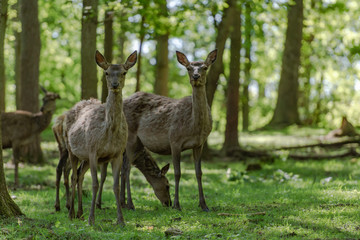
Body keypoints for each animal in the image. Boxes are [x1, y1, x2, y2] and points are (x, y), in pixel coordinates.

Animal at [63, 49, 136, 226]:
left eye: (124, 72)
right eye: (106, 72)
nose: (115, 84)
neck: (109, 132)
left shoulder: (117, 154)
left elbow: (115, 186)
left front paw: (121, 220)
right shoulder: (93, 151)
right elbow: (95, 184)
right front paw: (92, 219)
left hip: (85, 158)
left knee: (80, 176)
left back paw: (80, 213)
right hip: (71, 149)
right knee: (73, 176)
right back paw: (71, 213)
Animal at [121, 49, 217, 211]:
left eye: (204, 67)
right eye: (188, 68)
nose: (196, 76)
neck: (194, 127)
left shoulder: (199, 143)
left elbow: (199, 172)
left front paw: (204, 205)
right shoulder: (175, 140)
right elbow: (177, 173)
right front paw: (177, 205)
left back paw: (123, 203)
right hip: (130, 137)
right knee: (127, 168)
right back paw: (130, 204)